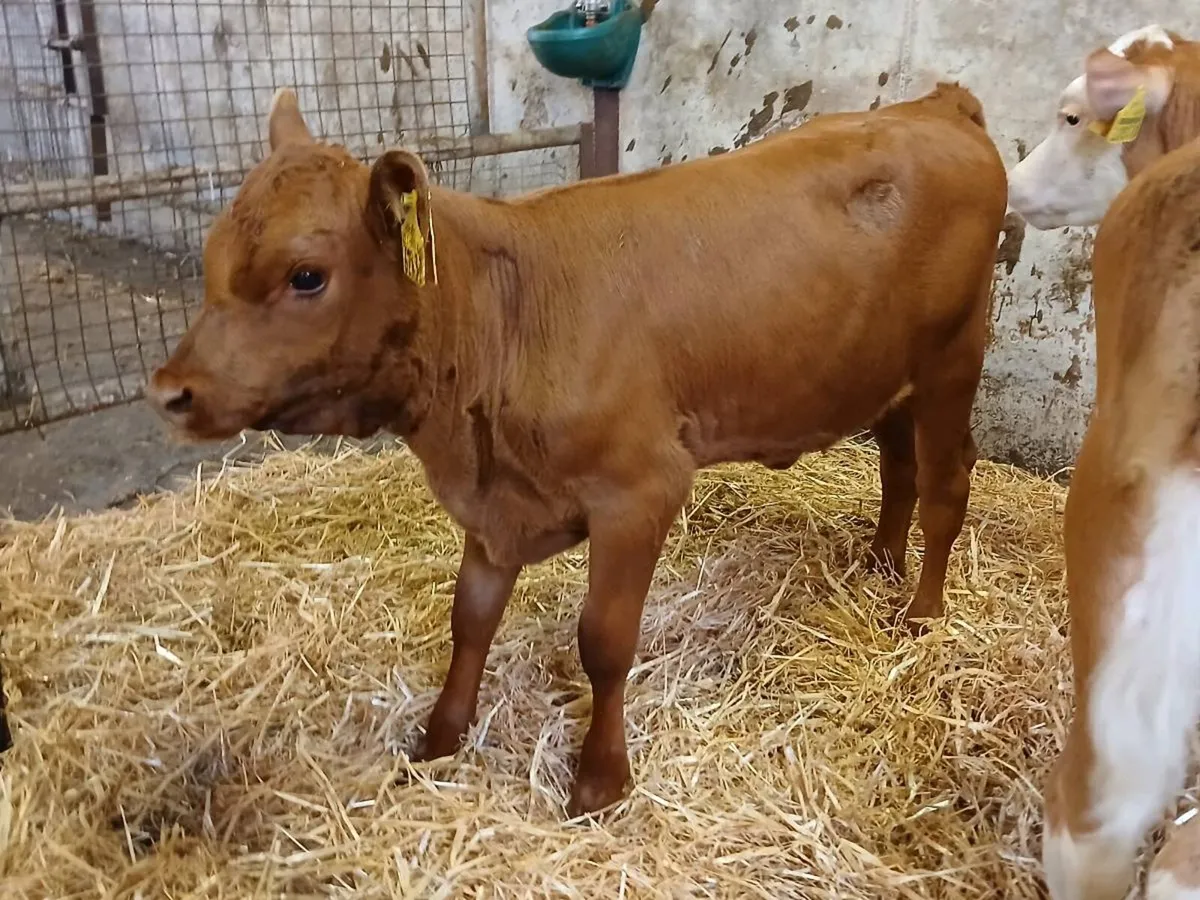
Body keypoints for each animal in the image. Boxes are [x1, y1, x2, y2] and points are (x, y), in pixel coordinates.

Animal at [146, 84, 1008, 815]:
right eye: (213, 258)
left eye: (305, 275)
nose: (170, 391)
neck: (502, 318)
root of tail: (936, 104)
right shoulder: (496, 501)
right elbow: (470, 617)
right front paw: (440, 737)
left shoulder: (640, 491)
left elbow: (604, 642)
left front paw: (599, 779)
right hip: (882, 374)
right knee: (899, 466)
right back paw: (880, 564)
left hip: (952, 361)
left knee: (946, 483)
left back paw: (921, 613)